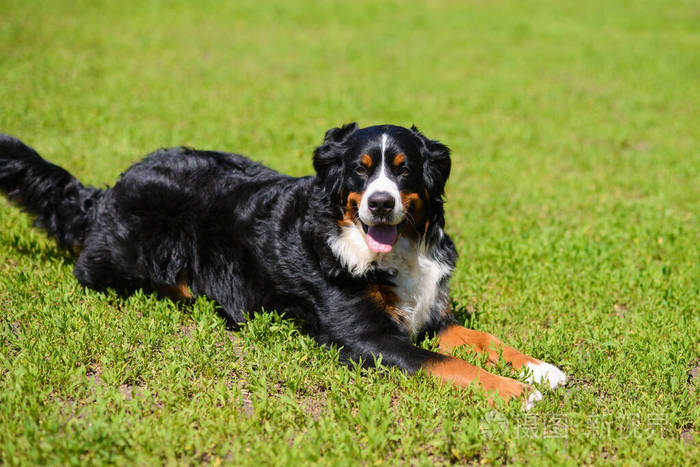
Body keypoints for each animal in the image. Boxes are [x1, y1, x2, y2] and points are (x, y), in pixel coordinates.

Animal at [0, 124, 568, 410]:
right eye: (360, 171)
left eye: (404, 170)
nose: (381, 203)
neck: (393, 250)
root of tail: (107, 193)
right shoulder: (366, 339)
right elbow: (450, 364)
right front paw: (519, 393)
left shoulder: (429, 314)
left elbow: (480, 340)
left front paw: (540, 369)